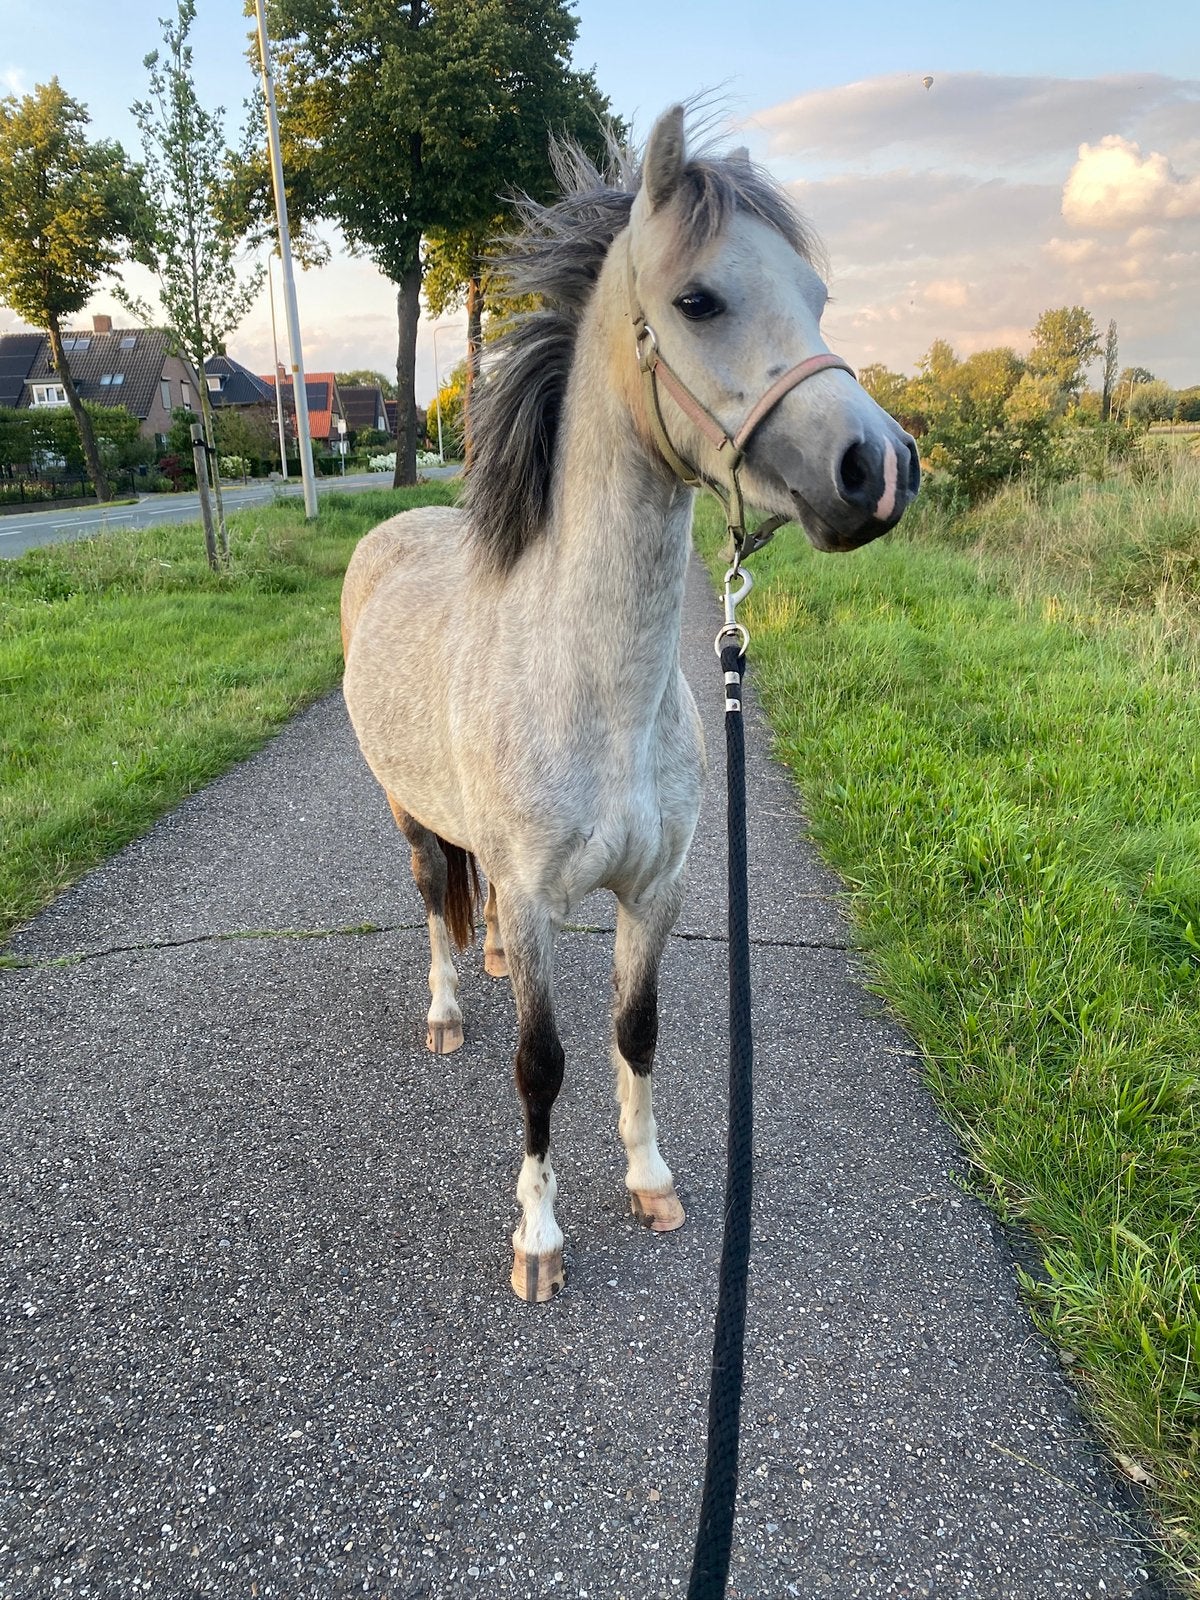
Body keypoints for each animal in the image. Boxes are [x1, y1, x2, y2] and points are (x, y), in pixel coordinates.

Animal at [340, 105, 919, 1303]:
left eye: (817, 295)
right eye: (698, 299)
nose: (881, 468)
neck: (595, 696)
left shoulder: (656, 891)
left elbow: (637, 1031)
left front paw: (650, 1181)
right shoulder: (532, 896)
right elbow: (541, 1063)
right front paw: (539, 1237)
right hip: (408, 815)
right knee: (430, 899)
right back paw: (448, 1007)